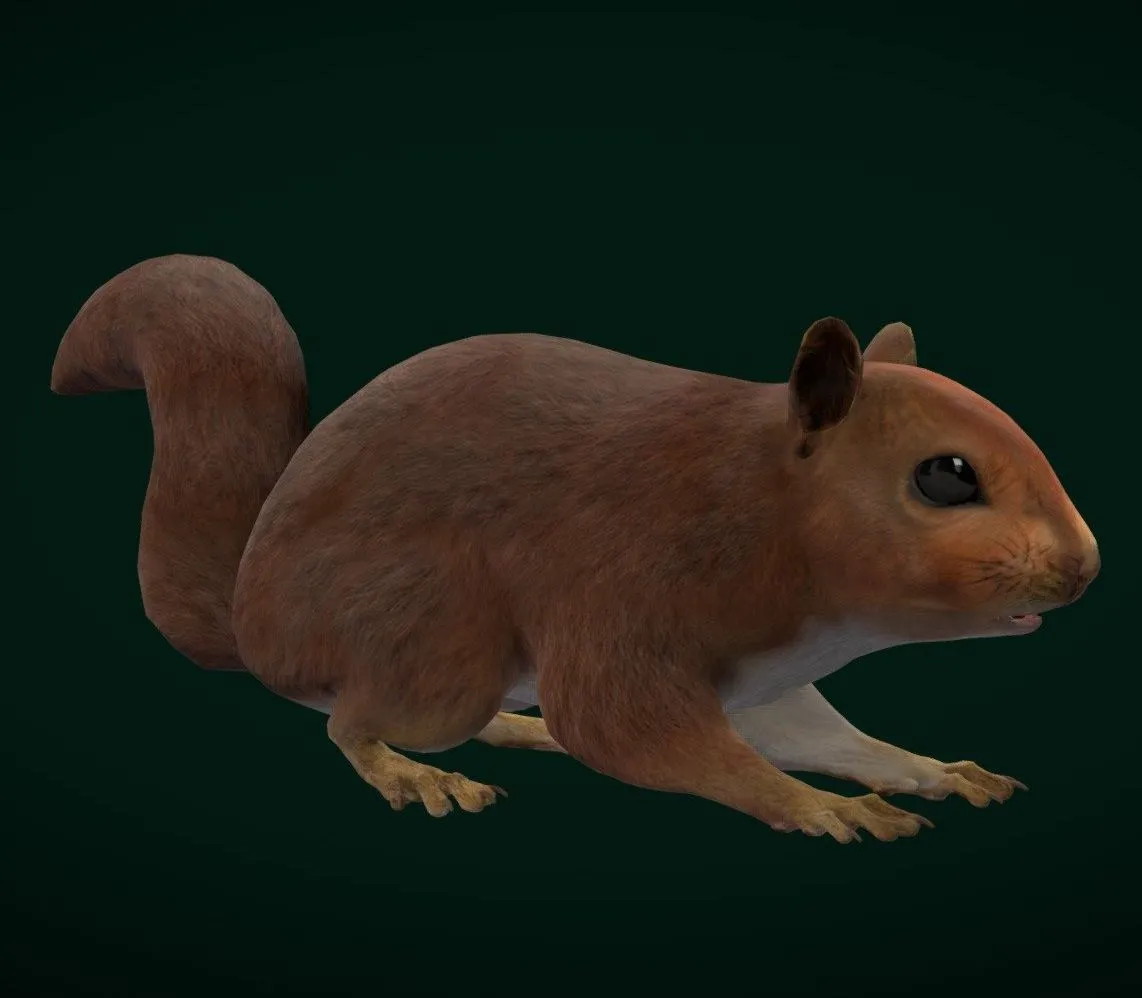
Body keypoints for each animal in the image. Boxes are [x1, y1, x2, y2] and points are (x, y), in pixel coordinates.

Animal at [51, 254, 1099, 843]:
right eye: (946, 476)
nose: (1086, 567)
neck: (761, 507)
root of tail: (253, 618)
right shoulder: (626, 581)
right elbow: (629, 727)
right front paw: (819, 808)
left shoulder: (769, 682)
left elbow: (825, 736)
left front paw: (933, 770)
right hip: (435, 636)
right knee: (352, 722)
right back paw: (420, 774)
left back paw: (523, 733)